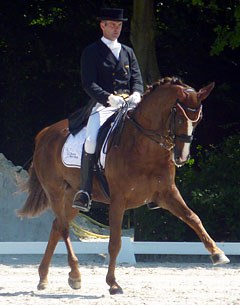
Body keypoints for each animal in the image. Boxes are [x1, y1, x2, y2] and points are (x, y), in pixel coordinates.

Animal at [17, 76, 230, 294]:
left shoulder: (167, 194)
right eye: (179, 117)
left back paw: (44, 278)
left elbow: (193, 217)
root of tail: (45, 134)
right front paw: (113, 283)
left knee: (57, 226)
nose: (182, 157)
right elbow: (115, 243)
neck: (145, 147)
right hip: (55, 192)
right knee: (64, 228)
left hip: (73, 197)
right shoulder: (118, 200)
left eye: (199, 120)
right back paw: (75, 275)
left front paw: (218, 253)